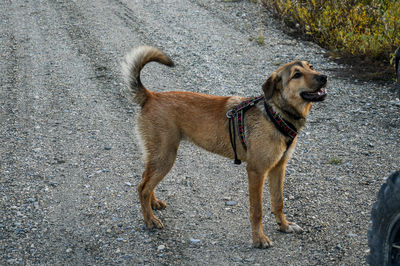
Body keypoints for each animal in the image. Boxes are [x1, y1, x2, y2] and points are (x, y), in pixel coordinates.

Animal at [122, 46, 328, 249]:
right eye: (296, 74)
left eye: (311, 66)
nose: (324, 76)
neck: (276, 114)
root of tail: (151, 96)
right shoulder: (257, 171)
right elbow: (257, 210)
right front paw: (259, 239)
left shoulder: (278, 168)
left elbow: (278, 202)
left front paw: (284, 226)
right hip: (165, 156)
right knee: (142, 187)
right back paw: (150, 220)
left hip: (158, 156)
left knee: (145, 180)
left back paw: (154, 203)